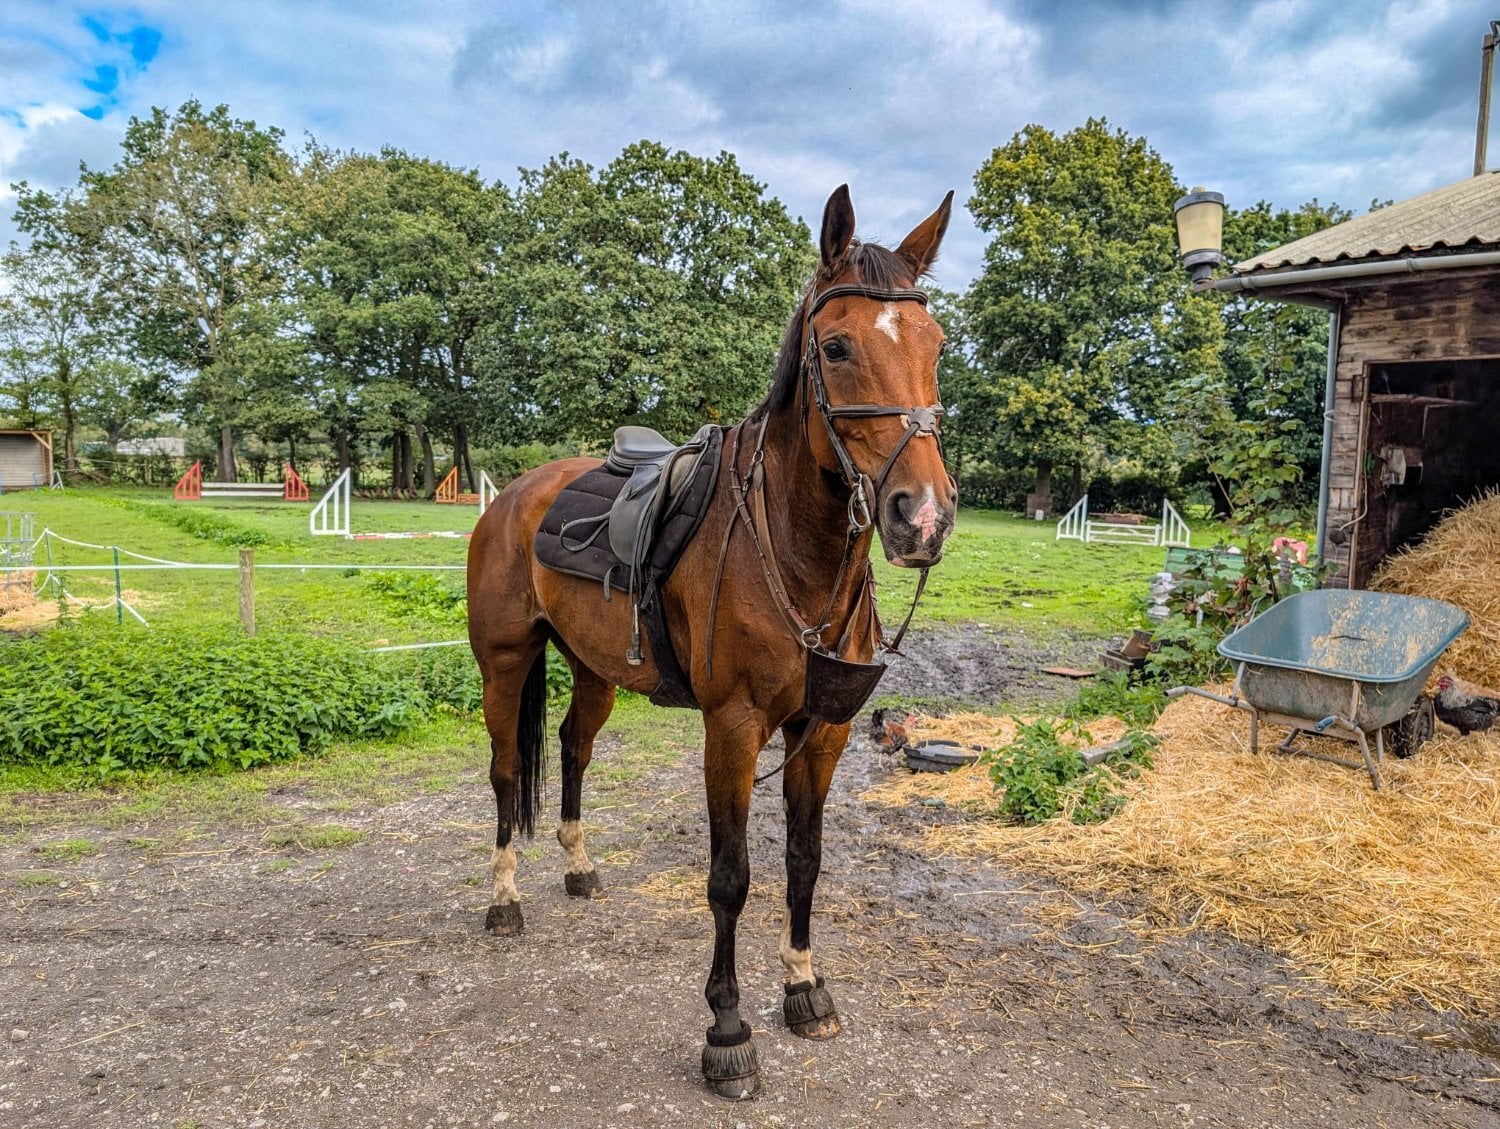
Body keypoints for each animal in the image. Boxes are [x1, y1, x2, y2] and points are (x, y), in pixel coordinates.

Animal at [466, 184, 958, 1098]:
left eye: (935, 344)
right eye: (836, 346)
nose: (924, 516)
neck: (793, 552)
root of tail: (514, 494)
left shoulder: (823, 732)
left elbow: (803, 861)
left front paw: (804, 987)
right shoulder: (731, 728)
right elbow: (731, 879)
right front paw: (728, 1031)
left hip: (594, 670)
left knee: (573, 749)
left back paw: (578, 866)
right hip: (505, 664)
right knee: (508, 773)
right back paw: (505, 898)